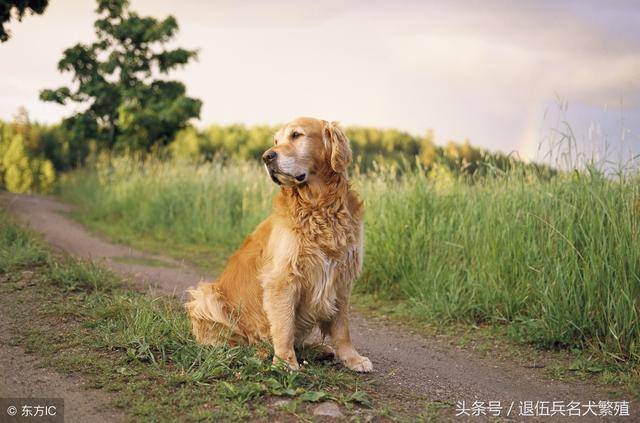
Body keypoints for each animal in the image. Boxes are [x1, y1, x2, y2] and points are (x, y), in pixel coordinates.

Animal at [185, 117, 372, 372]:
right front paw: (285, 362)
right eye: (276, 141)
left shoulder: (341, 277)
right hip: (206, 296)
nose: (266, 157)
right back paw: (256, 350)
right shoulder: (283, 278)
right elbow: (284, 326)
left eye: (296, 135)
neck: (319, 206)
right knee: (237, 340)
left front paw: (352, 358)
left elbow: (342, 328)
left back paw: (319, 349)